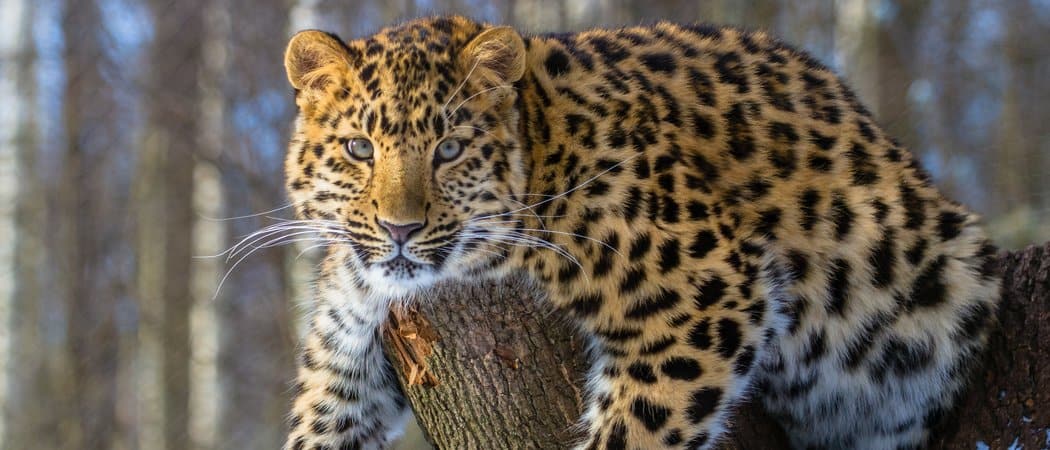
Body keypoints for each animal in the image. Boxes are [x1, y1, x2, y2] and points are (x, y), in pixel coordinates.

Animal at [279, 15, 1001, 450]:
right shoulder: (343, 357)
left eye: (450, 150)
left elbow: (634, 431)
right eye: (359, 148)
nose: (400, 229)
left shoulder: (706, 294)